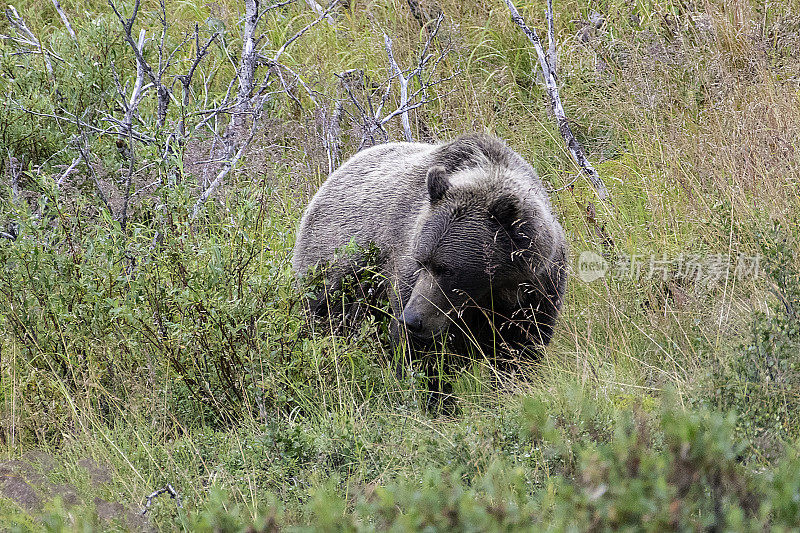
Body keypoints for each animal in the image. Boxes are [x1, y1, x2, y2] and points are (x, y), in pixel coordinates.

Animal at [294, 132, 568, 396]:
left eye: (447, 269)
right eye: (421, 261)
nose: (412, 319)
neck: (494, 291)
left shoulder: (535, 293)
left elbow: (520, 355)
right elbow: (422, 360)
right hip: (334, 277)